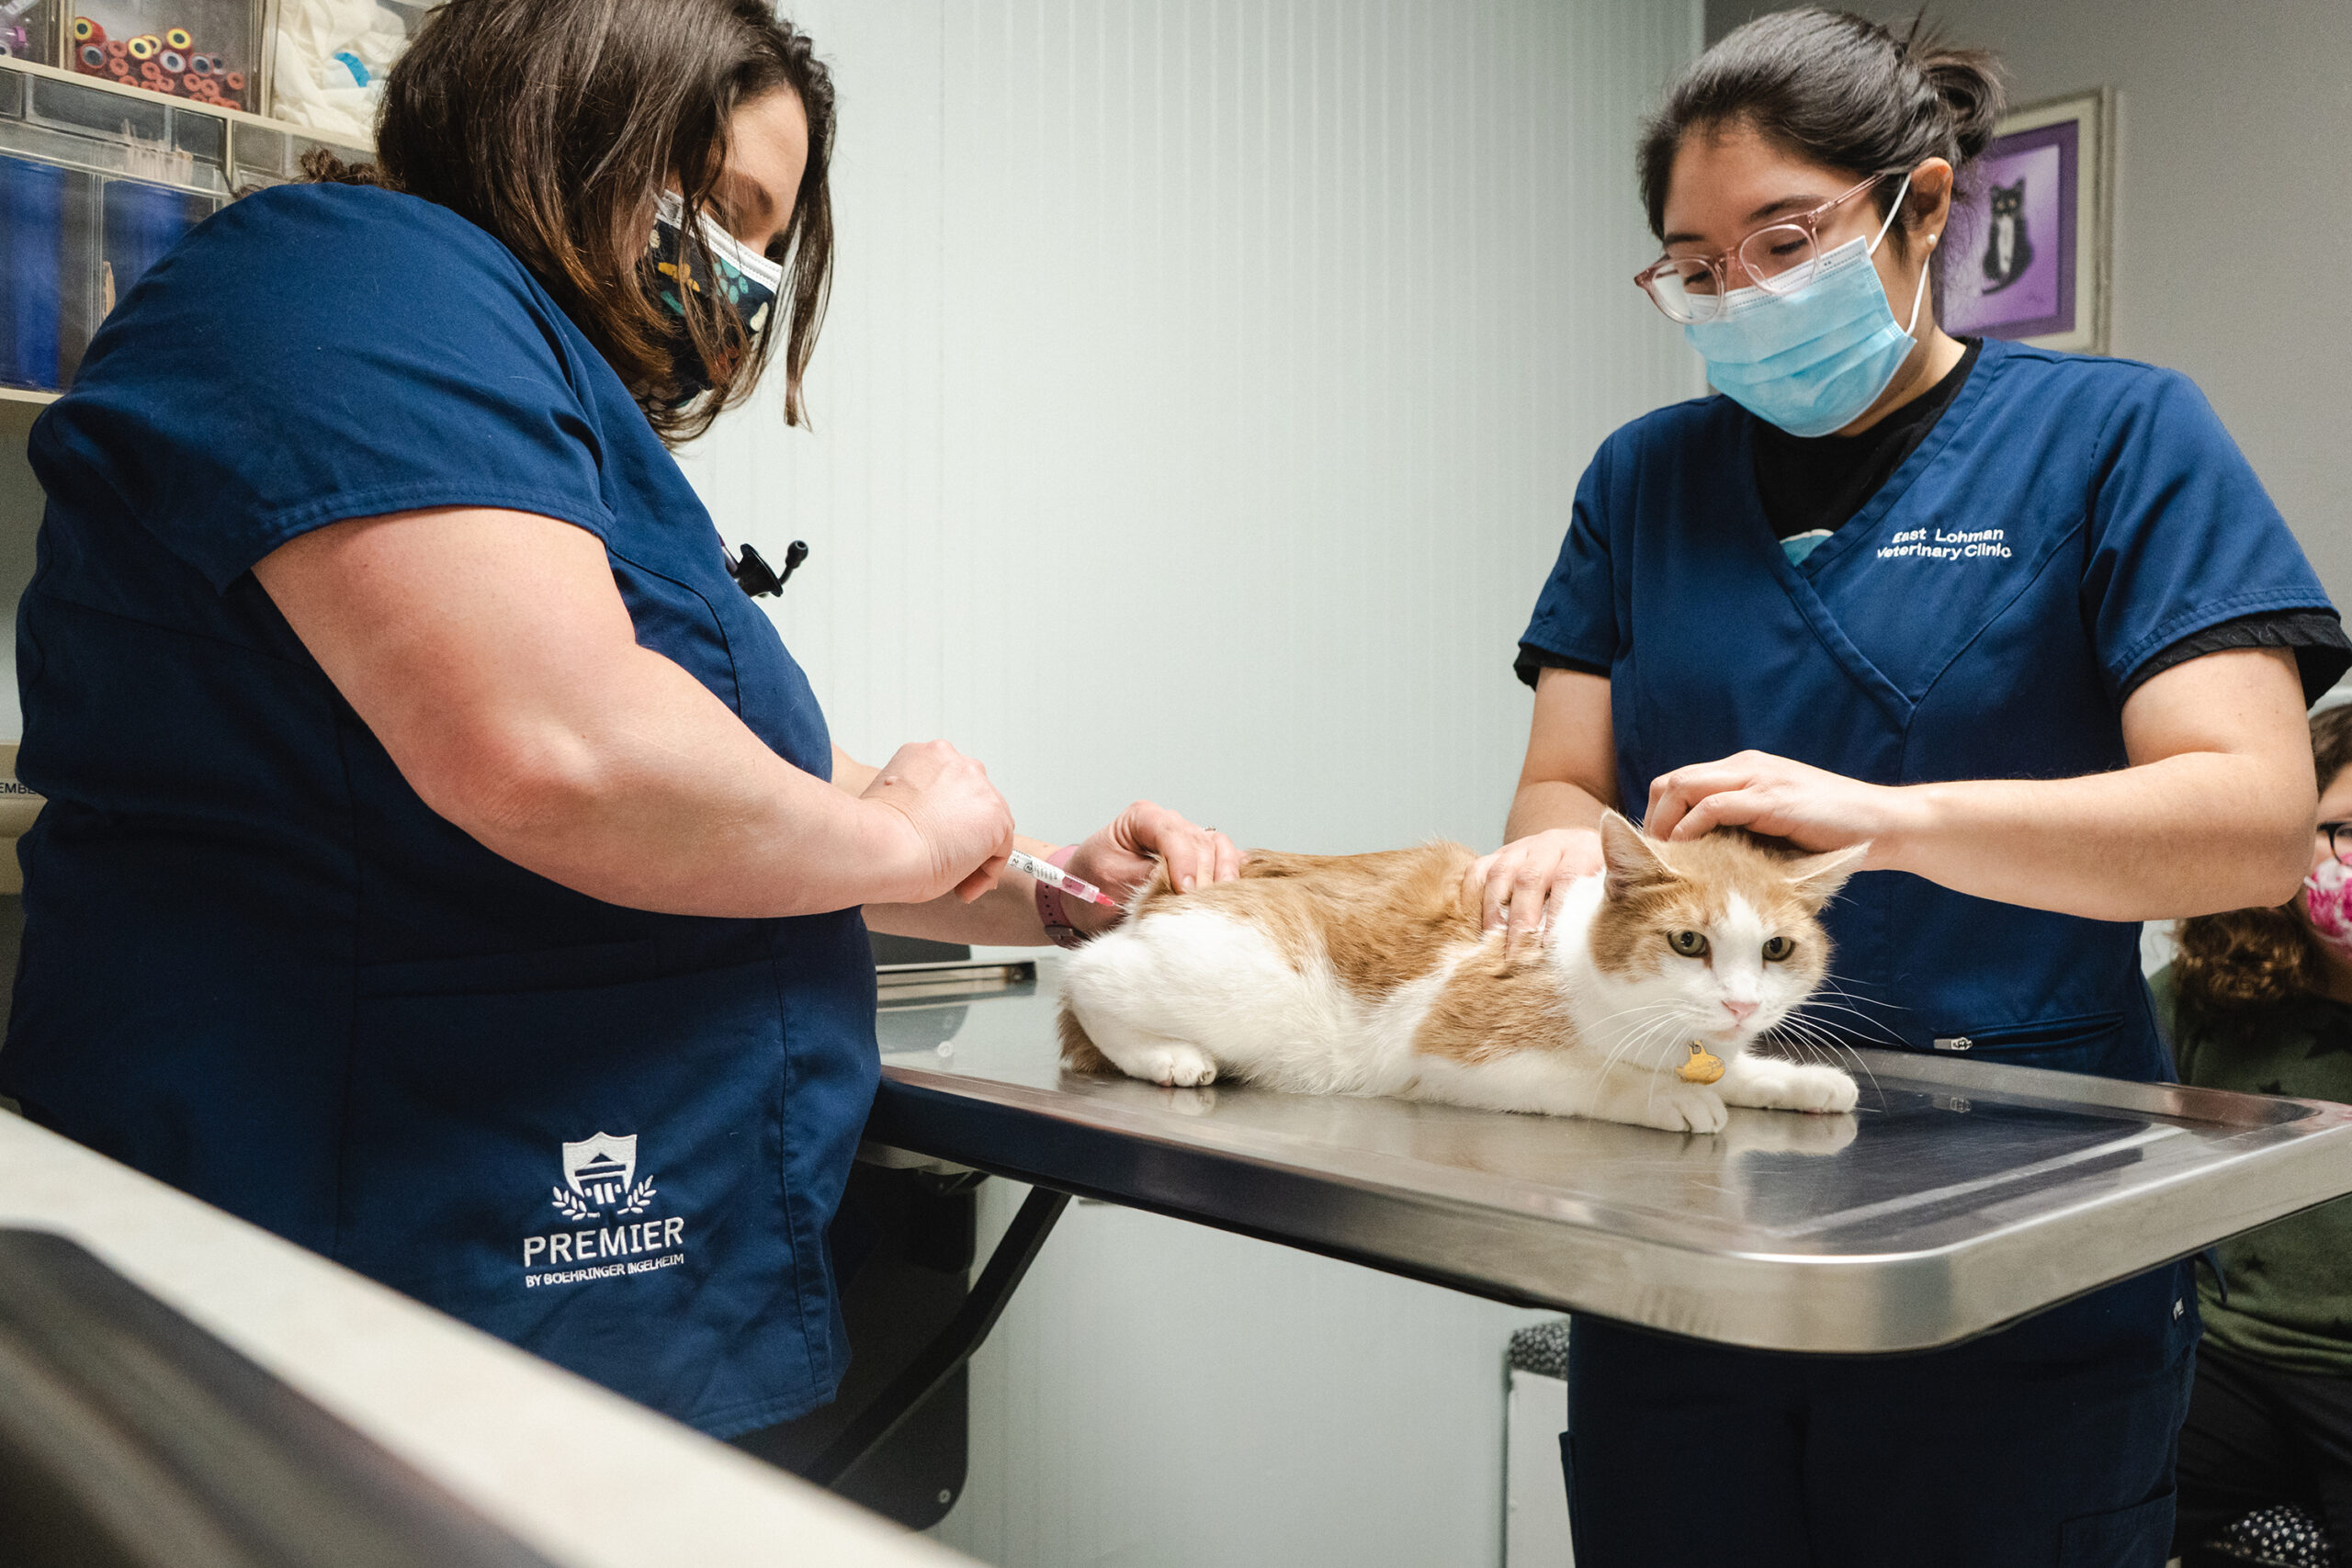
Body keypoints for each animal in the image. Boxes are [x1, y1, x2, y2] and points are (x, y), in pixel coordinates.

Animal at [1058, 818, 1862, 1133]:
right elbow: (1597, 1081)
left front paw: (1797, 1080)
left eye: (1777, 950)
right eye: (1689, 941)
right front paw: (1670, 1097)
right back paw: (1169, 1056)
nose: (1740, 1003)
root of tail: (1170, 880)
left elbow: (1735, 1070)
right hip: (1238, 985)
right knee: (1087, 974)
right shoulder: (1456, 1052)